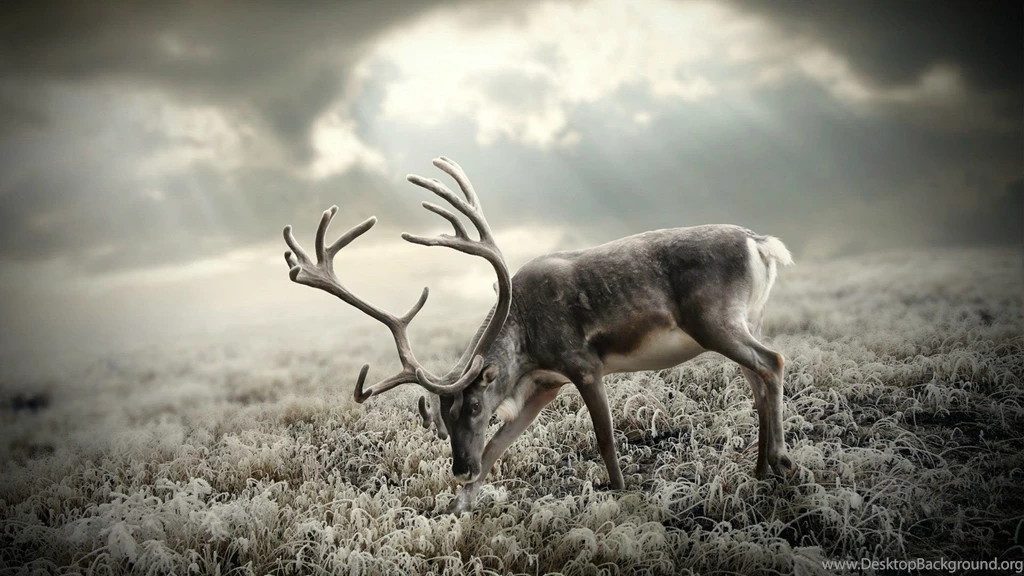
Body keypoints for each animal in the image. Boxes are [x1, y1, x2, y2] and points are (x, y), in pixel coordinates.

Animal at [283, 157, 794, 514]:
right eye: (443, 415)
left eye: (473, 405)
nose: (459, 468)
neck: (527, 345)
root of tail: (762, 244)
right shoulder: (545, 385)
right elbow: (496, 447)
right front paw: (458, 505)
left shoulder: (582, 365)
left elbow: (605, 439)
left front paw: (621, 493)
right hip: (744, 321)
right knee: (757, 380)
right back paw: (760, 468)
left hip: (715, 321)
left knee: (773, 361)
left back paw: (783, 460)